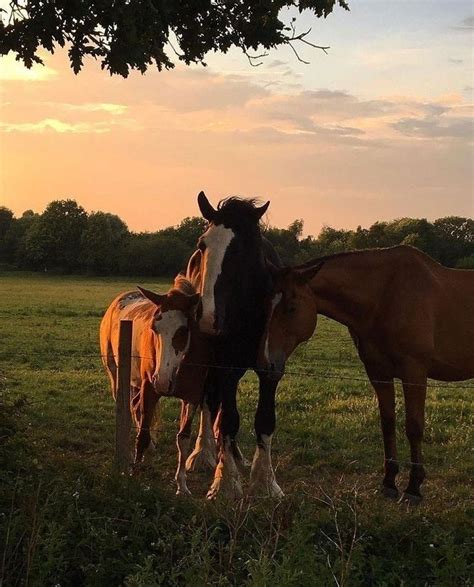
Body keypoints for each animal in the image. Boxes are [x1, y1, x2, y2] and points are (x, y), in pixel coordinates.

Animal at [100, 274, 209, 494]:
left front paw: (182, 485)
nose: (163, 381)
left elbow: (183, 439)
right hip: (117, 376)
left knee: (135, 407)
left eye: (184, 330)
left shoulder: (192, 397)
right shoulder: (149, 389)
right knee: (127, 410)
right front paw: (133, 476)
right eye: (154, 328)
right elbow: (142, 434)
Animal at [193, 194, 286, 500]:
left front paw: (265, 481)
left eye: (243, 249)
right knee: (211, 403)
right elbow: (228, 419)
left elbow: (264, 420)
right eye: (202, 245)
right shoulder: (224, 366)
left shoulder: (271, 369)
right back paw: (204, 453)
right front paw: (225, 482)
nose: (208, 316)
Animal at [260, 246, 474, 504]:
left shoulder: (414, 371)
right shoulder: (378, 372)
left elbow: (414, 426)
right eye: (266, 306)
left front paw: (414, 487)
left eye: (291, 308)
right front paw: (389, 482)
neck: (385, 296)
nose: (268, 364)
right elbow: (387, 423)